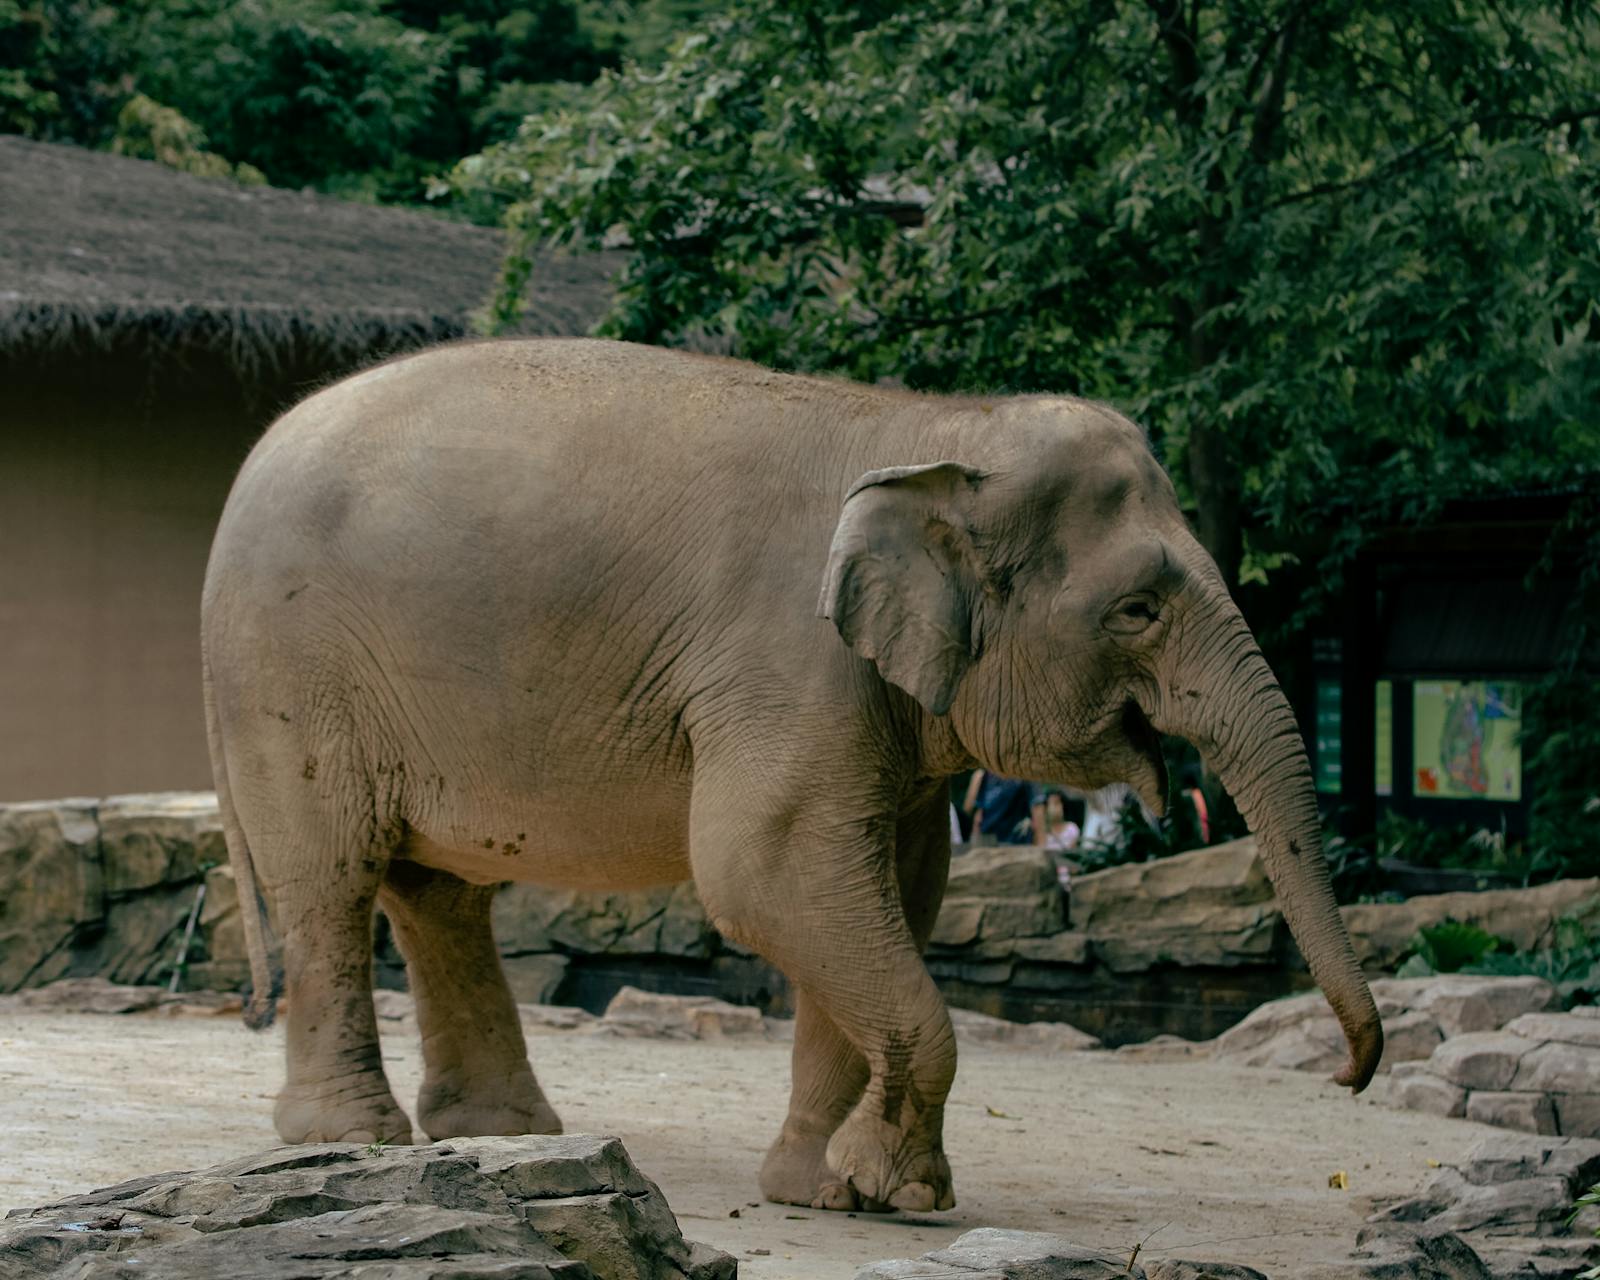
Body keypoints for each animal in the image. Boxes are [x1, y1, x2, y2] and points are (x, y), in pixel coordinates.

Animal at [201, 337, 1382, 1215]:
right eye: (1138, 608)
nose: (1347, 1073)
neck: (936, 430)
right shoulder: (789, 666)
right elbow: (765, 872)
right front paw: (898, 1193)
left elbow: (885, 889)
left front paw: (824, 1191)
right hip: (289, 678)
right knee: (333, 879)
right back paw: (353, 1137)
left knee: (438, 895)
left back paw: (501, 1133)